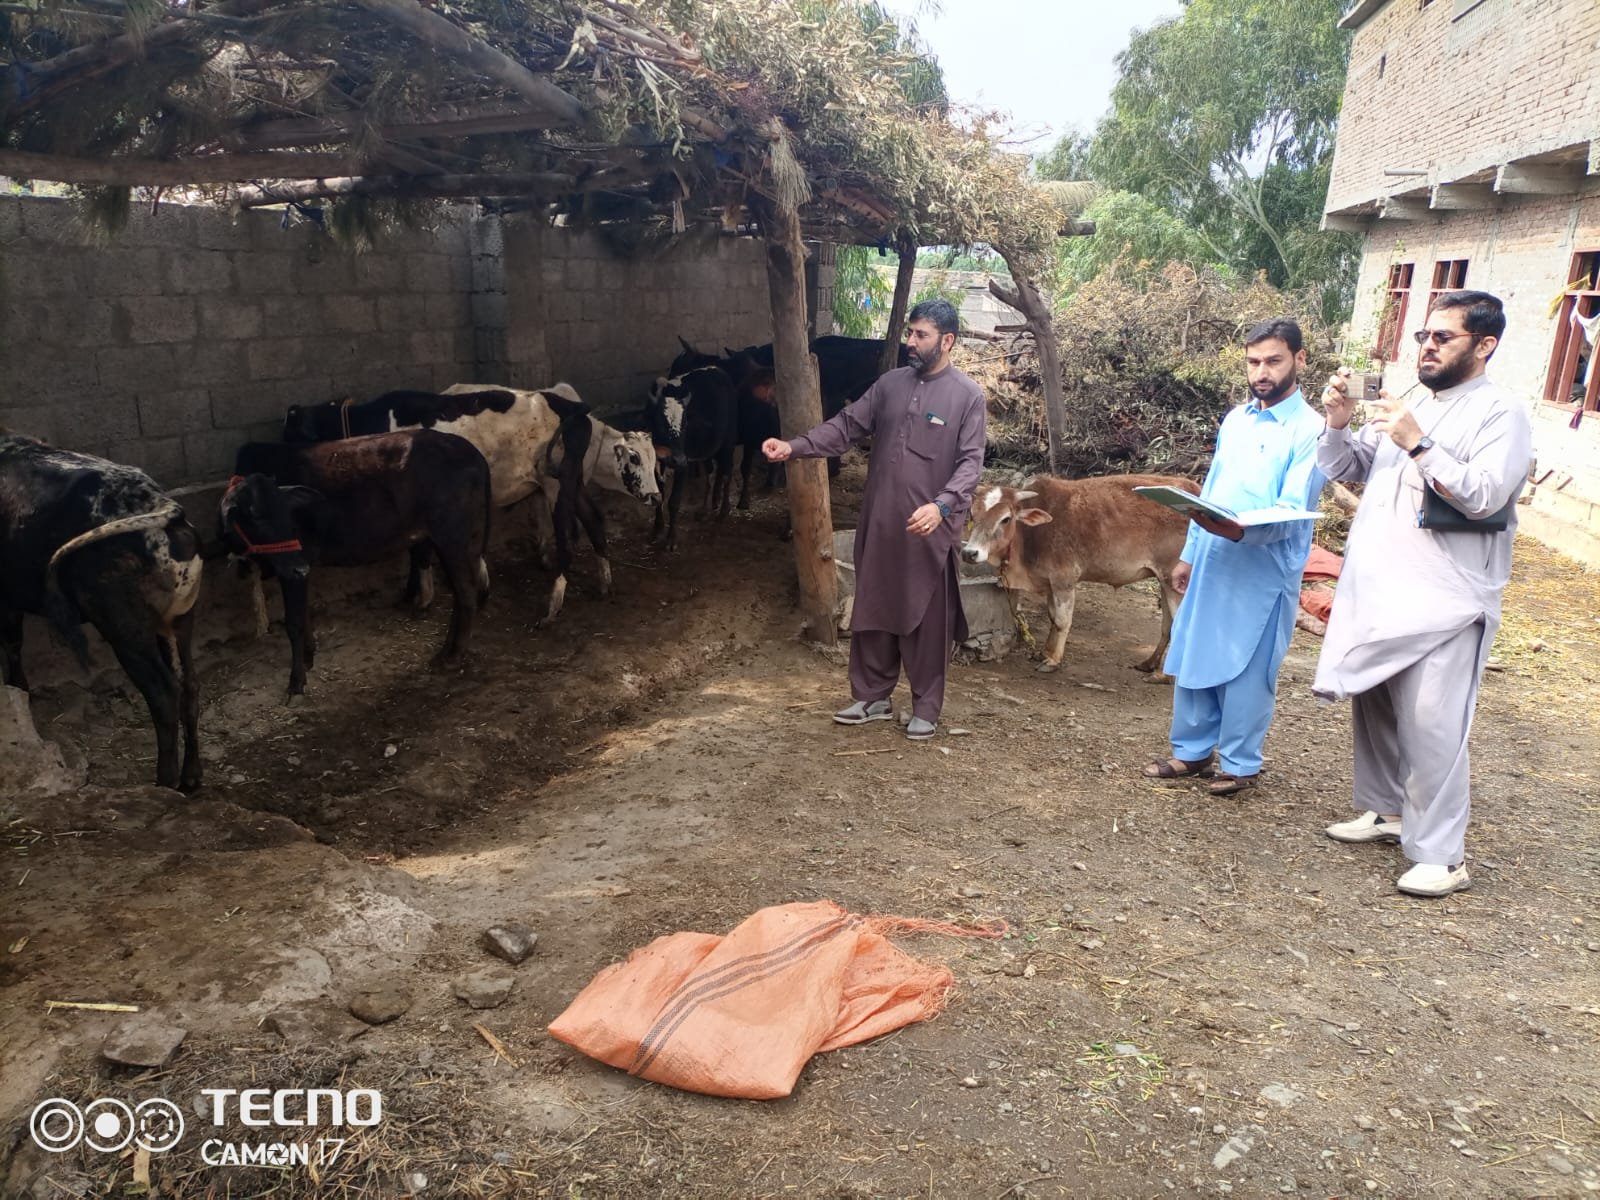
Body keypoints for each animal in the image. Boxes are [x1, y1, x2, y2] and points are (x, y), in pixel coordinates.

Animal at [0, 432, 203, 790]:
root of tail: (163, 507)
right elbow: (13, 645)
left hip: (126, 631)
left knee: (164, 695)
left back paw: (164, 783)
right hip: (177, 623)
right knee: (189, 686)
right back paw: (191, 777)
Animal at [222, 428, 489, 694]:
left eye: (287, 512)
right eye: (255, 516)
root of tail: (471, 452)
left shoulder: (294, 565)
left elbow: (294, 622)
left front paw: (296, 682)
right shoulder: (297, 567)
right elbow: (304, 613)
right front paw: (308, 657)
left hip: (452, 538)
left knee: (466, 594)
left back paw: (453, 656)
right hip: (462, 541)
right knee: (462, 591)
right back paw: (448, 649)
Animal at [947, 480, 1203, 681]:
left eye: (1006, 519)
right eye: (973, 515)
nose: (970, 553)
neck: (1032, 535)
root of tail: (1195, 488)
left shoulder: (1064, 579)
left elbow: (1062, 621)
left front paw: (1052, 661)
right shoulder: (1050, 583)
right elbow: (1052, 617)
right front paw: (1044, 652)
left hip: (1174, 580)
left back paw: (1166, 675)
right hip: (1165, 582)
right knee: (1167, 625)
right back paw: (1149, 663)